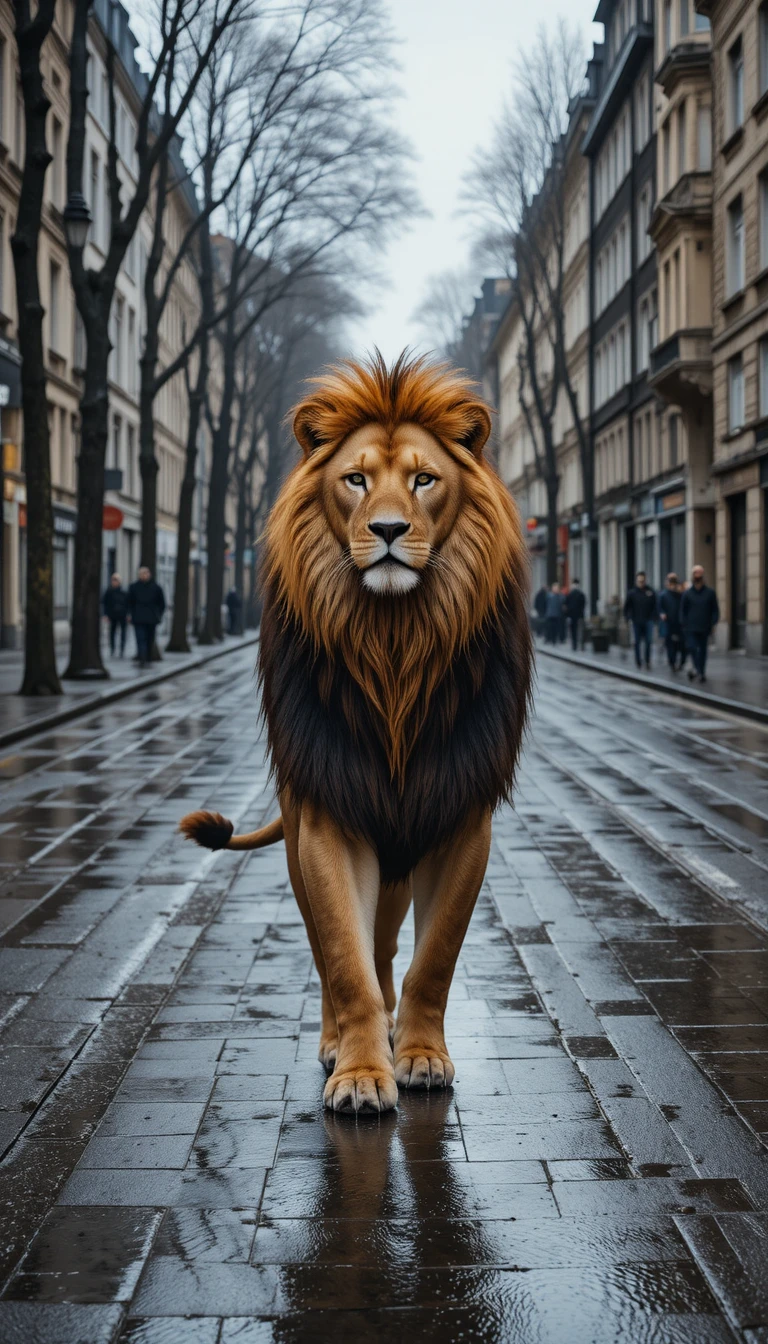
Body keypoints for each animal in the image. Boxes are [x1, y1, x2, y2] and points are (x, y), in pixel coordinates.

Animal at [180, 352, 532, 1113]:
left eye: (425, 479)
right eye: (356, 479)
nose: (392, 529)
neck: (394, 644)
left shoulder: (460, 814)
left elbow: (434, 957)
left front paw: (420, 1056)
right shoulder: (329, 817)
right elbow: (343, 955)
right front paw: (362, 1073)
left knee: (387, 945)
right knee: (335, 951)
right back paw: (337, 1041)